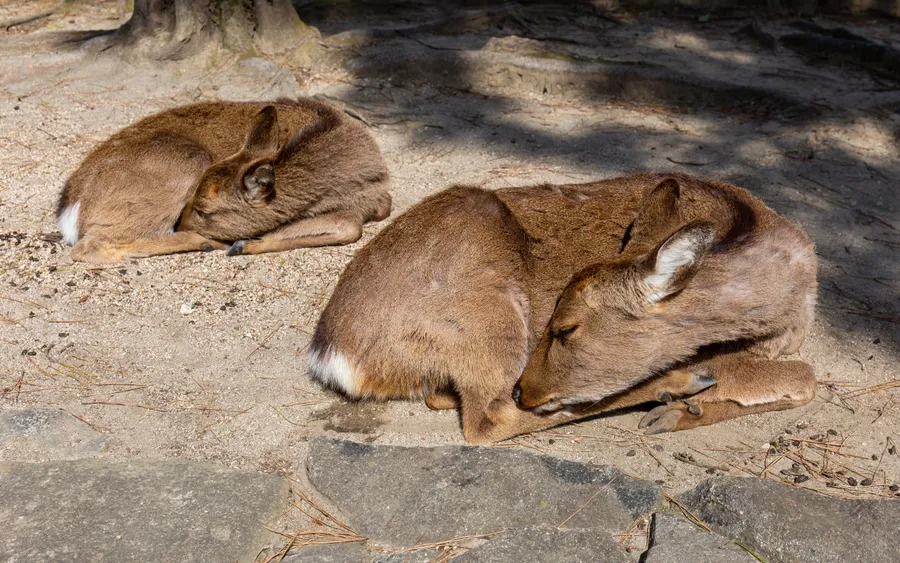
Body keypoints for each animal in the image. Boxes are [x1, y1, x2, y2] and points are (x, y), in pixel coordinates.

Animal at [57, 97, 391, 263]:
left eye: (204, 209)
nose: (182, 223)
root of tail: (71, 206)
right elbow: (350, 226)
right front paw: (244, 244)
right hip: (187, 161)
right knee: (90, 247)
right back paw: (209, 243)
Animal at [308, 172, 817, 444]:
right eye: (555, 321)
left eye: (567, 328)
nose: (525, 389)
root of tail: (333, 355)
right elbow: (806, 377)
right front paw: (681, 401)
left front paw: (685, 412)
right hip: (489, 316)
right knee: (487, 419)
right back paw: (677, 386)